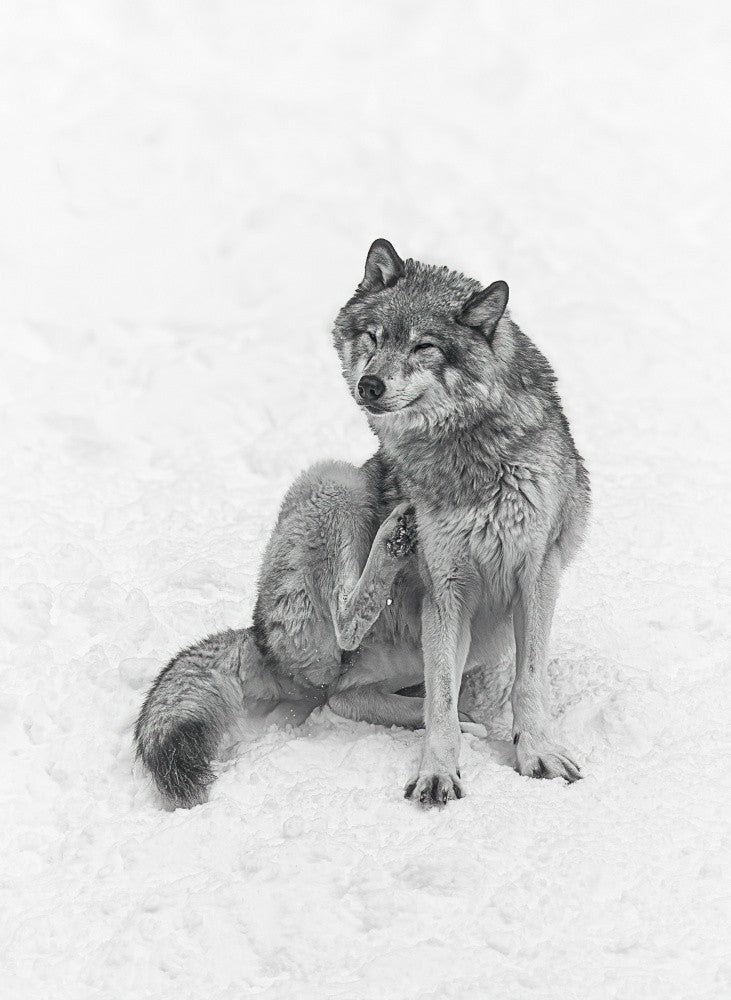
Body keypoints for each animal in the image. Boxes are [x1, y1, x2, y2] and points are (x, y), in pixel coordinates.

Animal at [135, 239, 590, 808]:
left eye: (424, 347)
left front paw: (538, 754)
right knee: (346, 645)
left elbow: (527, 683)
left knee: (346, 696)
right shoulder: (446, 589)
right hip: (335, 480)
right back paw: (395, 538)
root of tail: (257, 636)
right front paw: (438, 774)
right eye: (373, 337)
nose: (369, 384)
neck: (467, 452)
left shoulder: (537, 574)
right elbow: (440, 700)